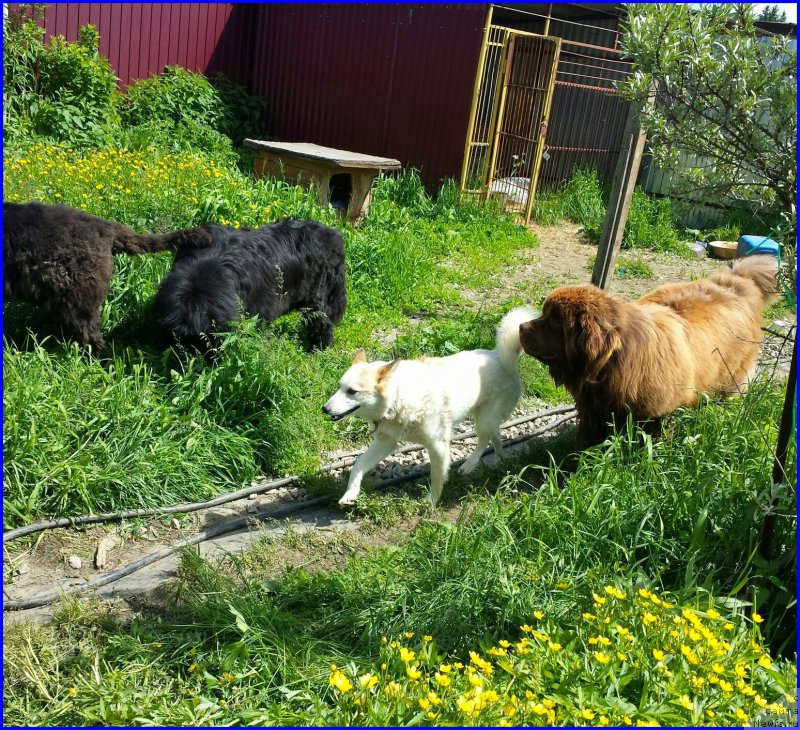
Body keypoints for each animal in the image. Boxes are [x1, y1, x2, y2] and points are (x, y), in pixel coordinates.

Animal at [153, 218, 346, 352]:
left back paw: (318, 349)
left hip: (317, 294)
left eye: (201, 342)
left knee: (322, 322)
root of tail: (333, 236)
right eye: (178, 341)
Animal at [320, 304, 536, 504]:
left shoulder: (438, 445)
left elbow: (437, 476)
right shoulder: (386, 442)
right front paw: (350, 494)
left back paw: (470, 464)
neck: (398, 397)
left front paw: (432, 502)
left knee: (485, 439)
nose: (324, 409)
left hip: (484, 419)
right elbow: (358, 465)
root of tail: (498, 355)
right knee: (495, 435)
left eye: (352, 391)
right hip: (486, 417)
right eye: (339, 387)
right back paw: (500, 459)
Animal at [520, 253, 780, 446]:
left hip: (729, 379)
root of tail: (740, 282)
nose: (521, 327)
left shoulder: (657, 415)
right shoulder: (593, 410)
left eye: (555, 321)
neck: (613, 364)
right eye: (545, 314)